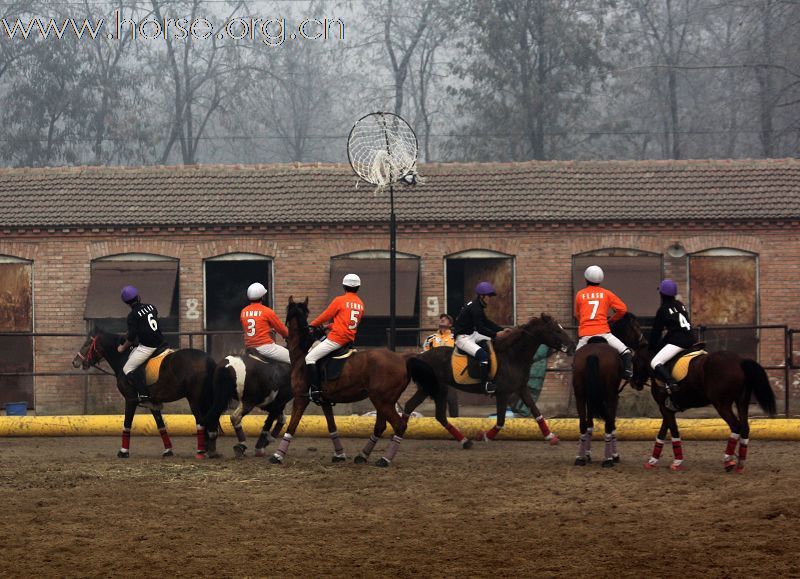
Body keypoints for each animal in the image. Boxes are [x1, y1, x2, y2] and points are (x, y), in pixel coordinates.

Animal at [71, 328, 214, 460]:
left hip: (194, 399)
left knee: (201, 421)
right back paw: (210, 450)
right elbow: (160, 425)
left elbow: (127, 424)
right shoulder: (153, 403)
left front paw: (123, 451)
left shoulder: (130, 400)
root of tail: (207, 358)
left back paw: (201, 452)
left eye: (87, 343)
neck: (123, 358)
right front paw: (168, 450)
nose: (75, 362)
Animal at [268, 296, 422, 468]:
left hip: (383, 401)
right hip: (383, 401)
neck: (302, 353)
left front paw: (278, 455)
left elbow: (292, 425)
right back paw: (363, 455)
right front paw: (339, 454)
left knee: (399, 425)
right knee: (380, 426)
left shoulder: (301, 398)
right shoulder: (325, 401)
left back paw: (384, 459)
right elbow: (332, 426)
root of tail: (402, 359)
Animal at [406, 314, 576, 446]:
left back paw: (464, 441)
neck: (513, 356)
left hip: (434, 389)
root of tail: (421, 356)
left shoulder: (521, 388)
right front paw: (486, 436)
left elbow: (536, 411)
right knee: (423, 410)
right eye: (557, 330)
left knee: (427, 412)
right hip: (436, 388)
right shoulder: (503, 393)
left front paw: (550, 436)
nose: (572, 346)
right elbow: (501, 420)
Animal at [572, 312, 648, 466]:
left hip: (580, 395)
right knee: (609, 423)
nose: (644, 343)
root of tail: (593, 353)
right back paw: (608, 460)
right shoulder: (613, 396)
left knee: (583, 424)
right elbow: (612, 423)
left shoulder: (591, 397)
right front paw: (614, 455)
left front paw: (587, 454)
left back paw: (579, 458)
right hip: (611, 395)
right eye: (636, 326)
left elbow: (590, 425)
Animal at [632, 344, 776, 472]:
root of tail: (739, 361)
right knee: (745, 427)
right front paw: (652, 461)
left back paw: (728, 461)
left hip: (722, 405)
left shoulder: (664, 407)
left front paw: (676, 462)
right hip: (742, 402)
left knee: (736, 426)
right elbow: (662, 431)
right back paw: (740, 463)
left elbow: (673, 431)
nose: (634, 383)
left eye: (634, 360)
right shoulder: (668, 408)